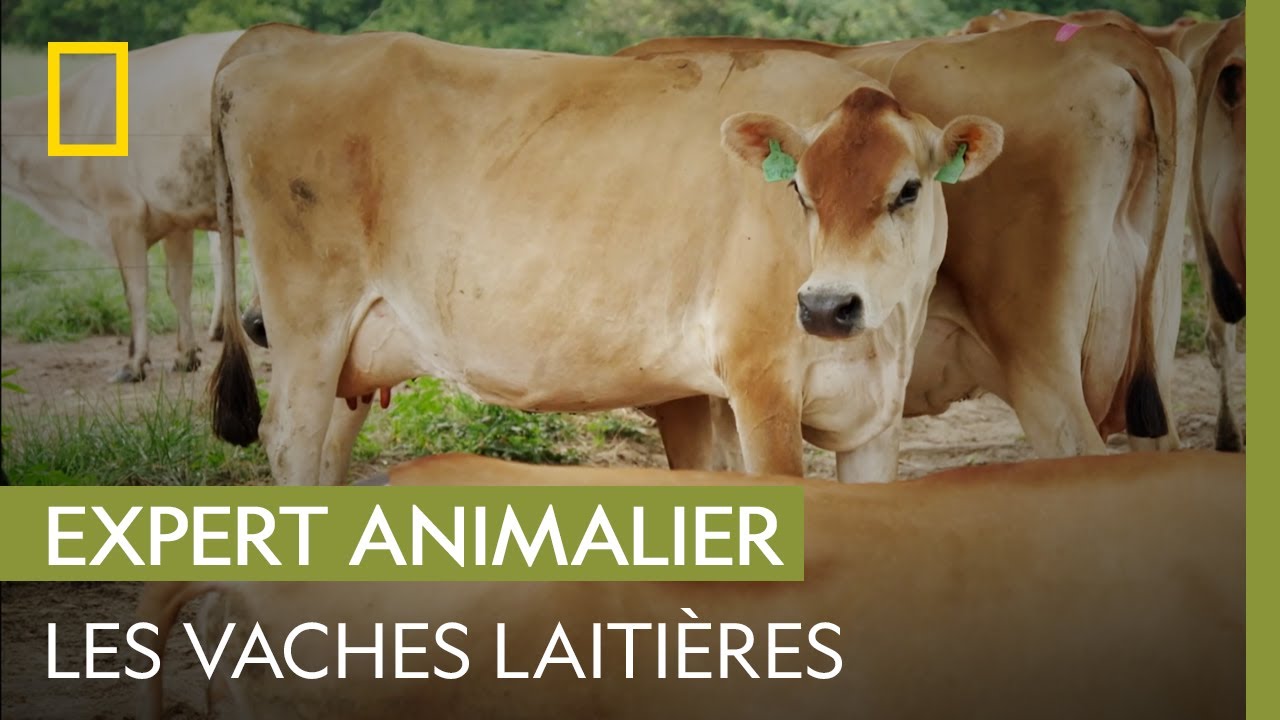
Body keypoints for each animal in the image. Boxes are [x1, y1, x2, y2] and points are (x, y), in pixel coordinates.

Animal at [1, 30, 244, 382]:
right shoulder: (177, 216)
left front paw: (134, 363)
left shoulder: (122, 212)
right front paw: (185, 356)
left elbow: (136, 290)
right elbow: (178, 287)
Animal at [207, 23, 1004, 485]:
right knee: (290, 439)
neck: (881, 343)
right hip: (309, 321)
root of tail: (271, 43)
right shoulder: (761, 384)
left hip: (355, 347)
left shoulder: (875, 421)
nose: (826, 305)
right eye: (799, 193)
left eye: (907, 190)